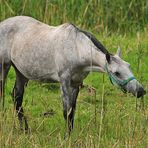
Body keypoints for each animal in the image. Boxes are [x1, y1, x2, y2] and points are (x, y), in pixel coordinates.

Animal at [0, 16, 146, 134]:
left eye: (128, 66)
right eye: (117, 73)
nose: (140, 91)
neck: (76, 48)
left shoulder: (76, 84)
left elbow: (72, 111)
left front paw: (70, 134)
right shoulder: (64, 82)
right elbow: (67, 111)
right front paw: (67, 137)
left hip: (21, 72)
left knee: (17, 97)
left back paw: (25, 130)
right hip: (4, 67)